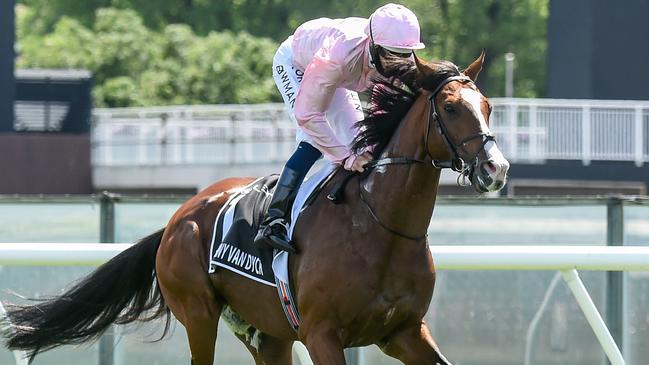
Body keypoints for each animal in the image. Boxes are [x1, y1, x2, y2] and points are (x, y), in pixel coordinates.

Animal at [5, 52, 508, 364]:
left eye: (486, 105)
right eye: (451, 107)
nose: (496, 168)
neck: (379, 225)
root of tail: (176, 219)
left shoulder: (402, 331)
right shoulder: (322, 334)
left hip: (264, 333)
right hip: (199, 313)